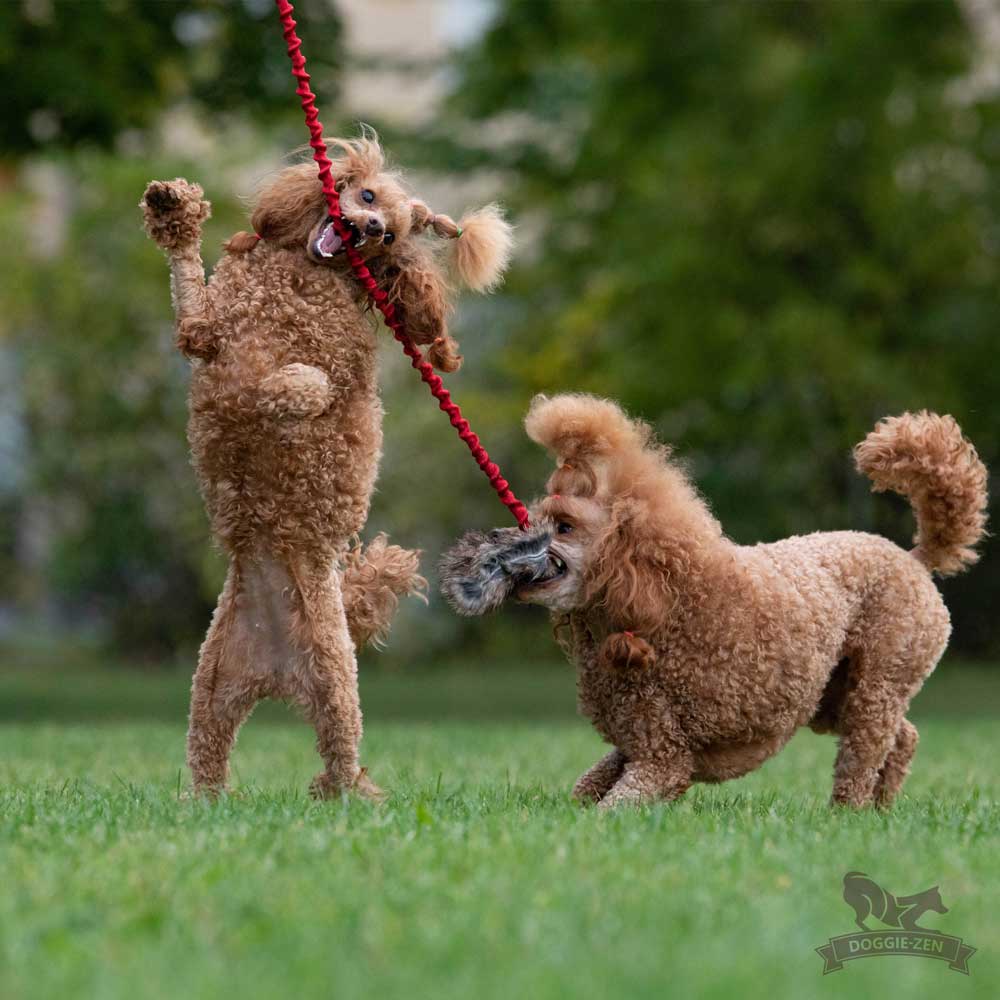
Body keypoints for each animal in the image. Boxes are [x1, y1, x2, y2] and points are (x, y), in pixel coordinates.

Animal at [141, 133, 512, 800]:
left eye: (391, 238)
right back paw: (203, 800)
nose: (371, 228)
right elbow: (189, 287)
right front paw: (172, 208)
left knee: (343, 757)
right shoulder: (203, 329)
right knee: (208, 755)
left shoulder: (316, 370)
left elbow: (304, 387)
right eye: (365, 197)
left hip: (336, 685)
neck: (307, 272)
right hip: (211, 687)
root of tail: (274, 673)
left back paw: (342, 793)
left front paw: (283, 393)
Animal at [442, 394, 988, 808]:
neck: (660, 606)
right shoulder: (643, 741)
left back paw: (847, 813)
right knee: (903, 736)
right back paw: (881, 807)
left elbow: (612, 805)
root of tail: (914, 558)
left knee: (866, 750)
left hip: (880, 677)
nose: (507, 550)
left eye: (565, 527)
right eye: (533, 519)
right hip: (833, 690)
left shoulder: (662, 758)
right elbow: (585, 789)